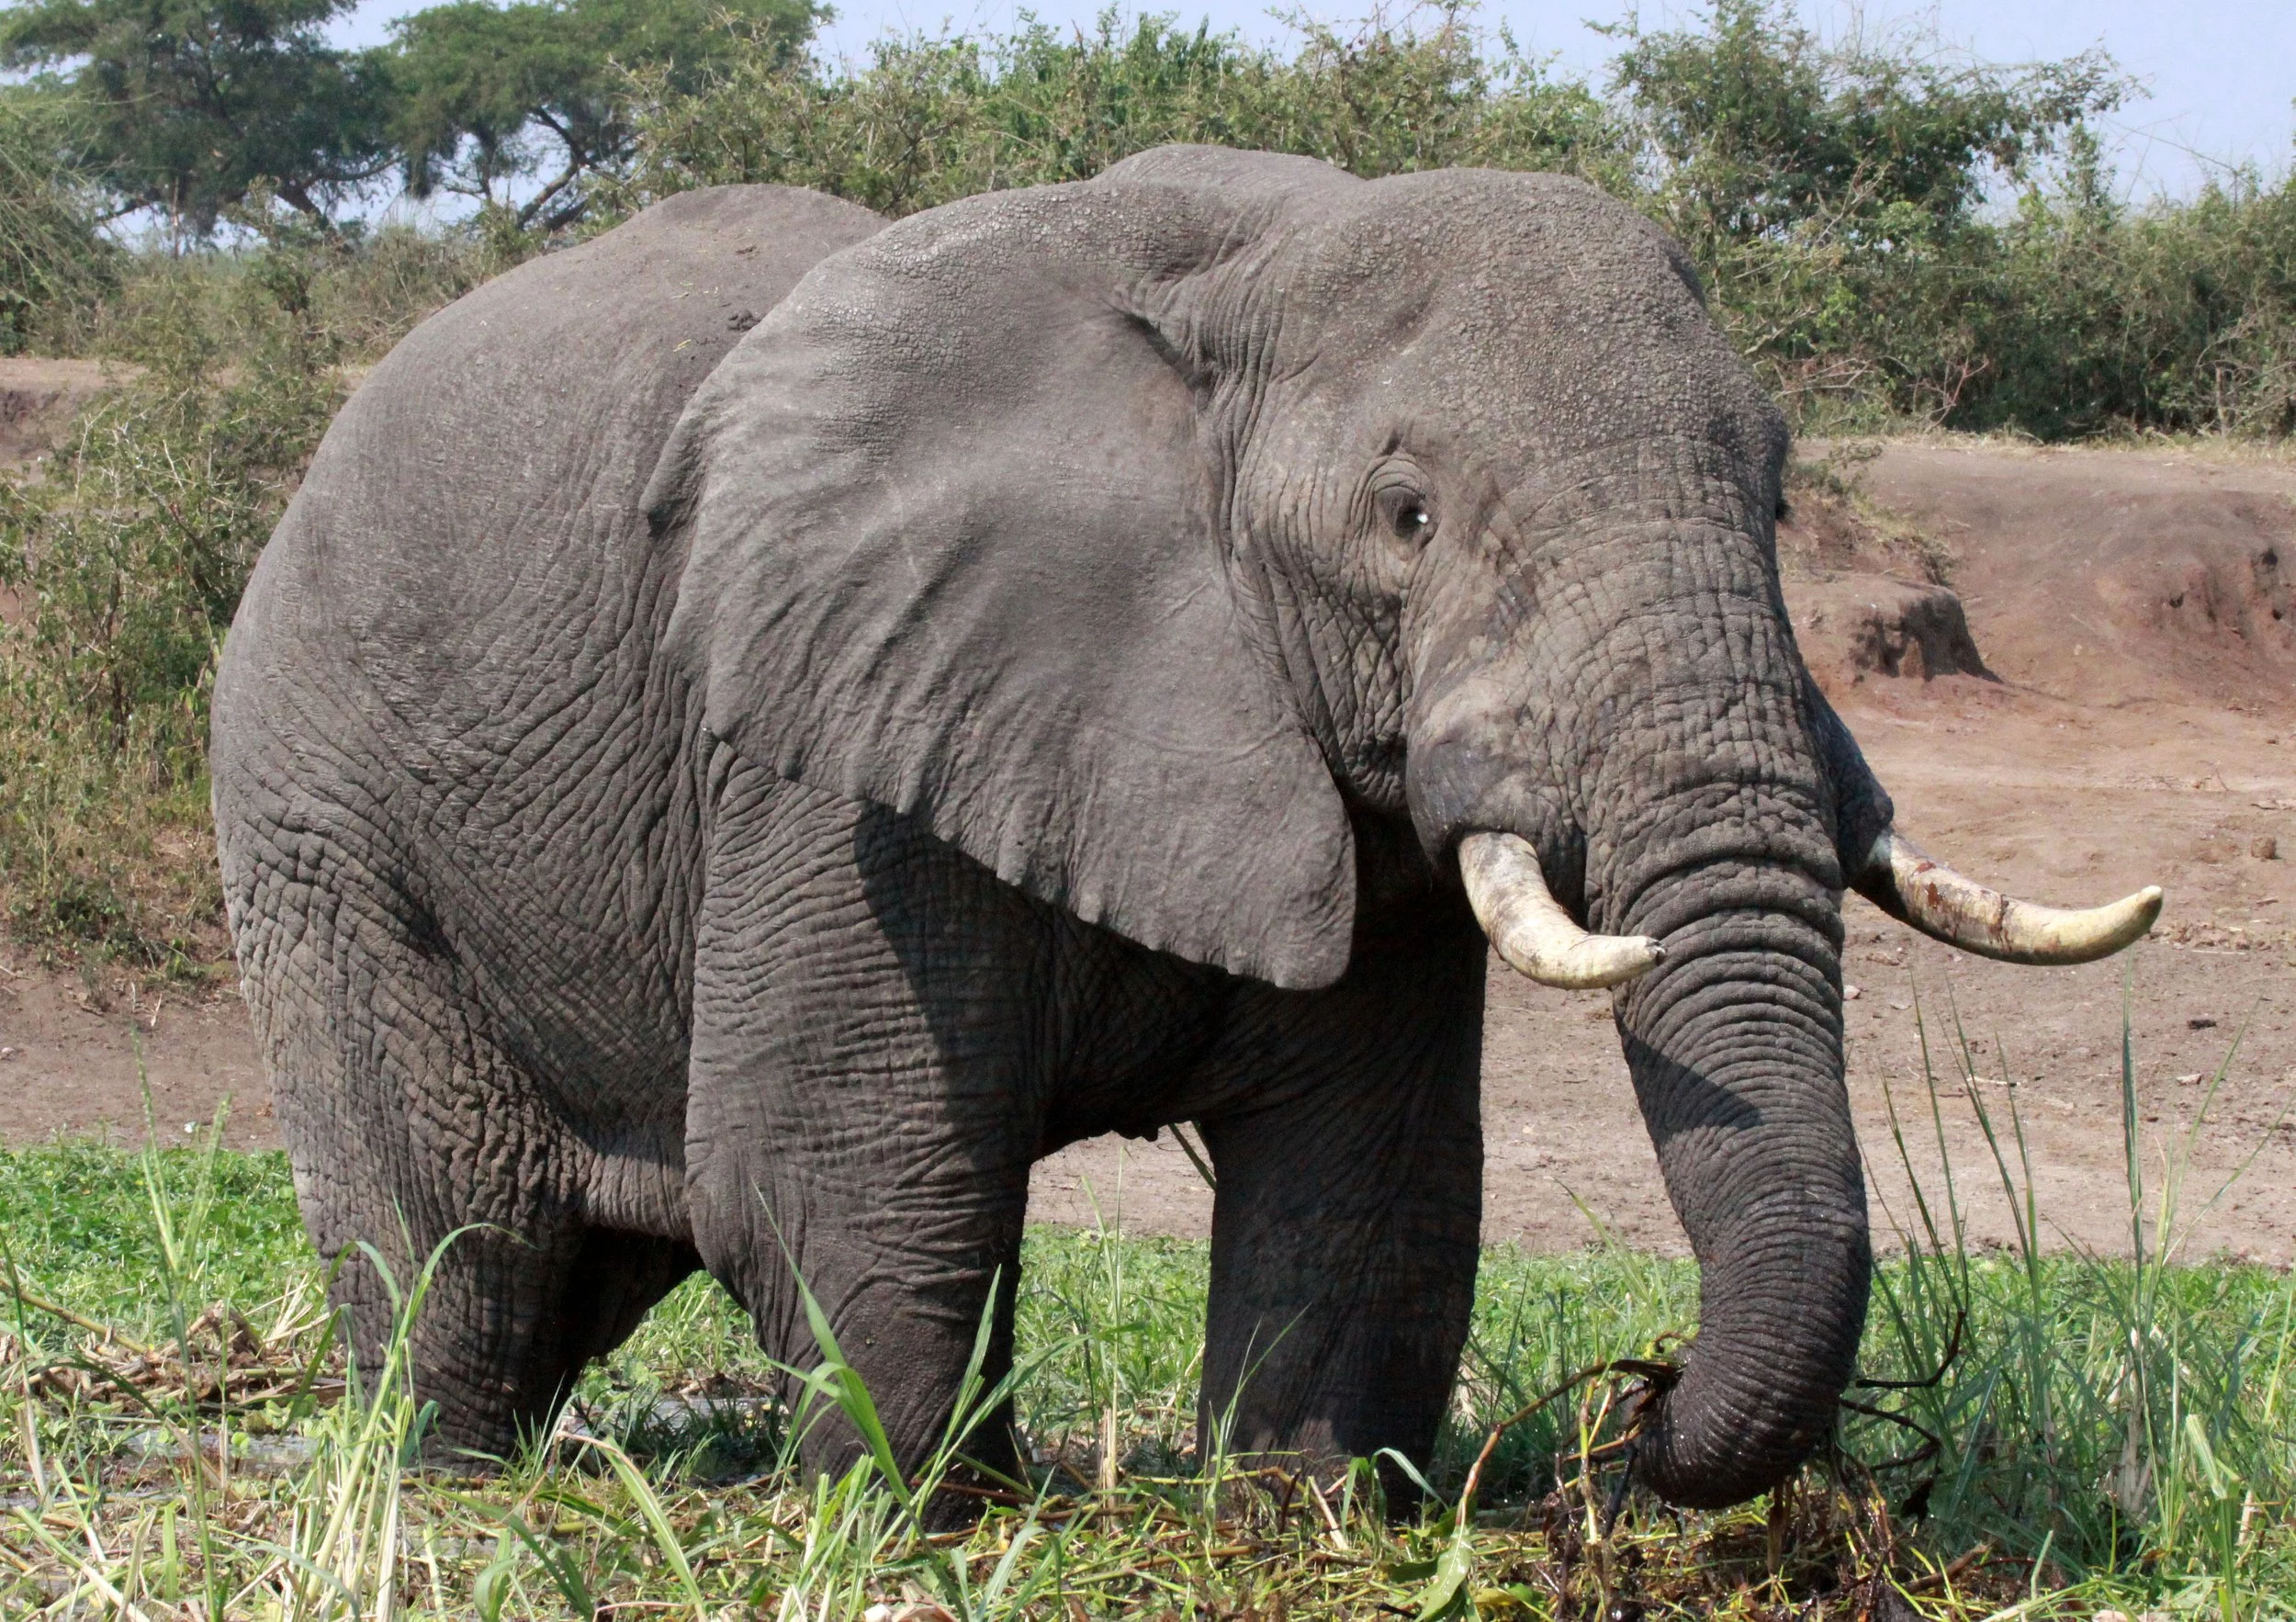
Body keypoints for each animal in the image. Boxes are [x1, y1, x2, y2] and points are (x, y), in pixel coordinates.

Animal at [210, 146, 2160, 1511]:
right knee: (460, 1244)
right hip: (314, 813)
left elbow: (1370, 1187)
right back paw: (451, 1483)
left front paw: (1293, 1506)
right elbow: (841, 1165)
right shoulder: (827, 750)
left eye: (1773, 492)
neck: (1248, 265)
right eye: (1407, 517)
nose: (1645, 1408)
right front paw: (906, 1521)